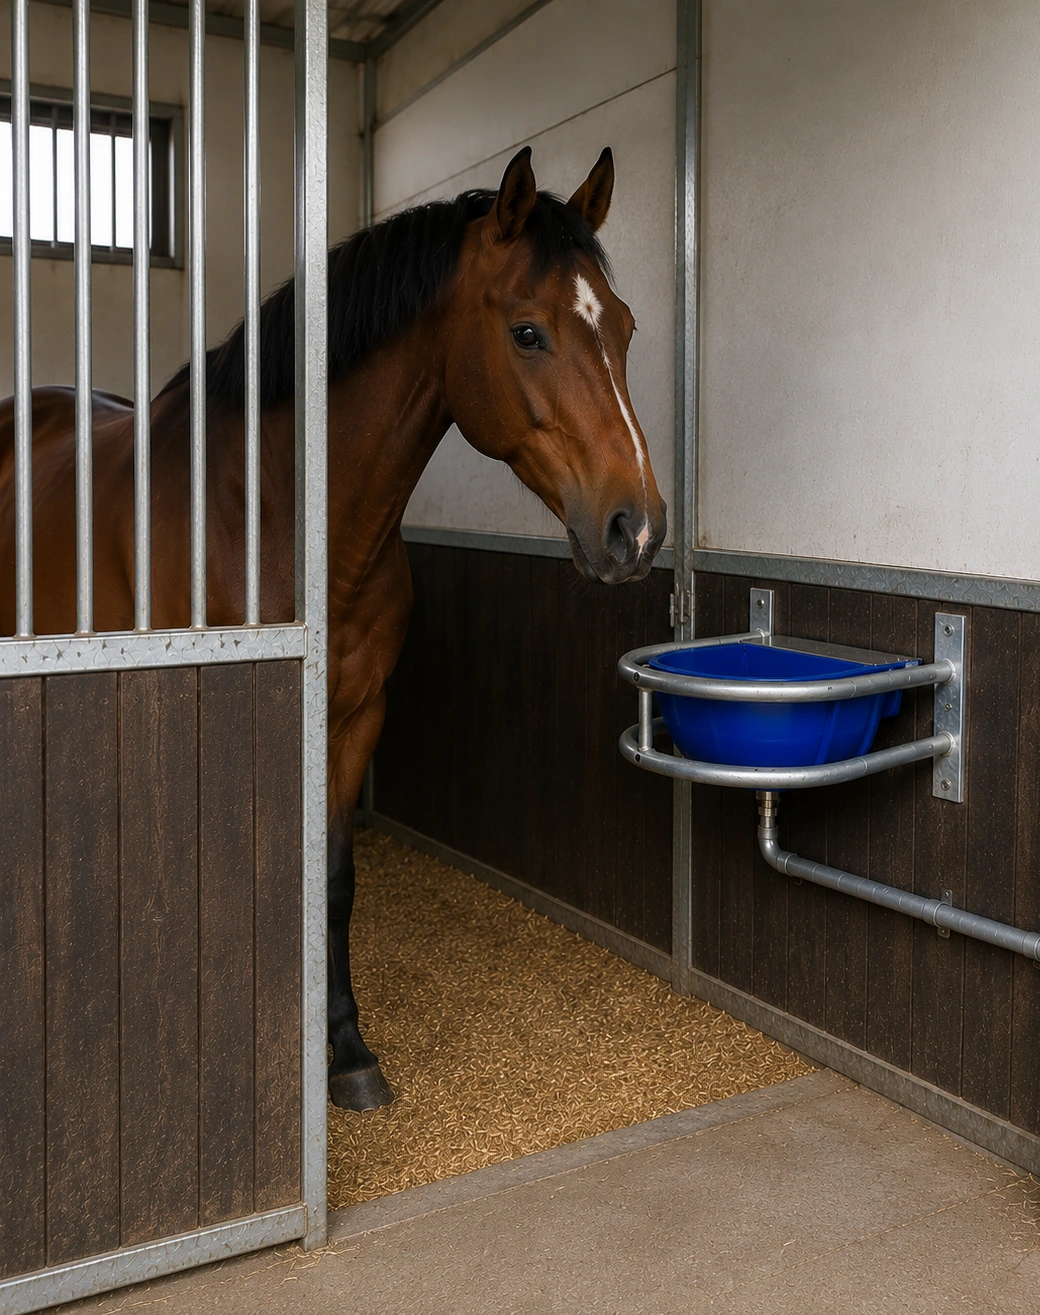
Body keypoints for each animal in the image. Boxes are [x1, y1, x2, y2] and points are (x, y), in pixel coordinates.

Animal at [0, 146, 667, 1111]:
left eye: (623, 326)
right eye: (527, 333)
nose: (636, 529)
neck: (273, 512)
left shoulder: (355, 716)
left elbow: (335, 879)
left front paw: (346, 1048)